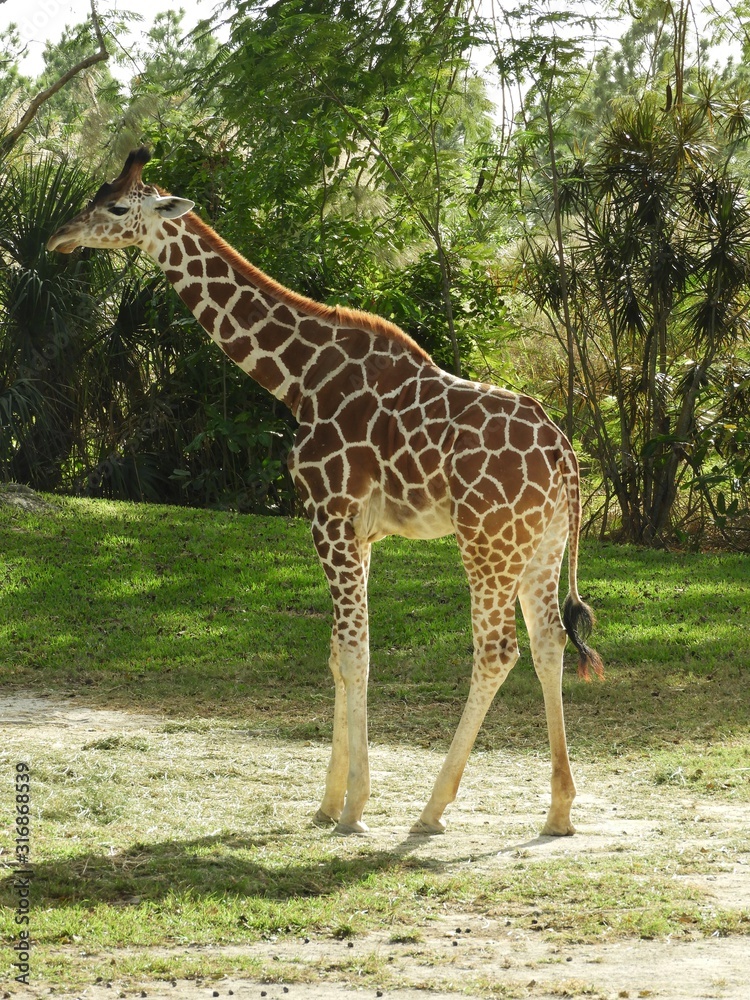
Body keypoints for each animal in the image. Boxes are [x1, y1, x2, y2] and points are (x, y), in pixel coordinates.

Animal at [48, 148, 602, 837]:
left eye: (118, 206)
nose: (59, 236)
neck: (300, 378)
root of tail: (565, 456)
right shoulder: (361, 533)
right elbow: (339, 655)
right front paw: (328, 802)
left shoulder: (328, 513)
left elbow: (354, 653)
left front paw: (355, 808)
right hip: (541, 545)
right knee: (549, 642)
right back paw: (558, 811)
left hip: (487, 541)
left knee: (497, 651)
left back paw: (432, 809)